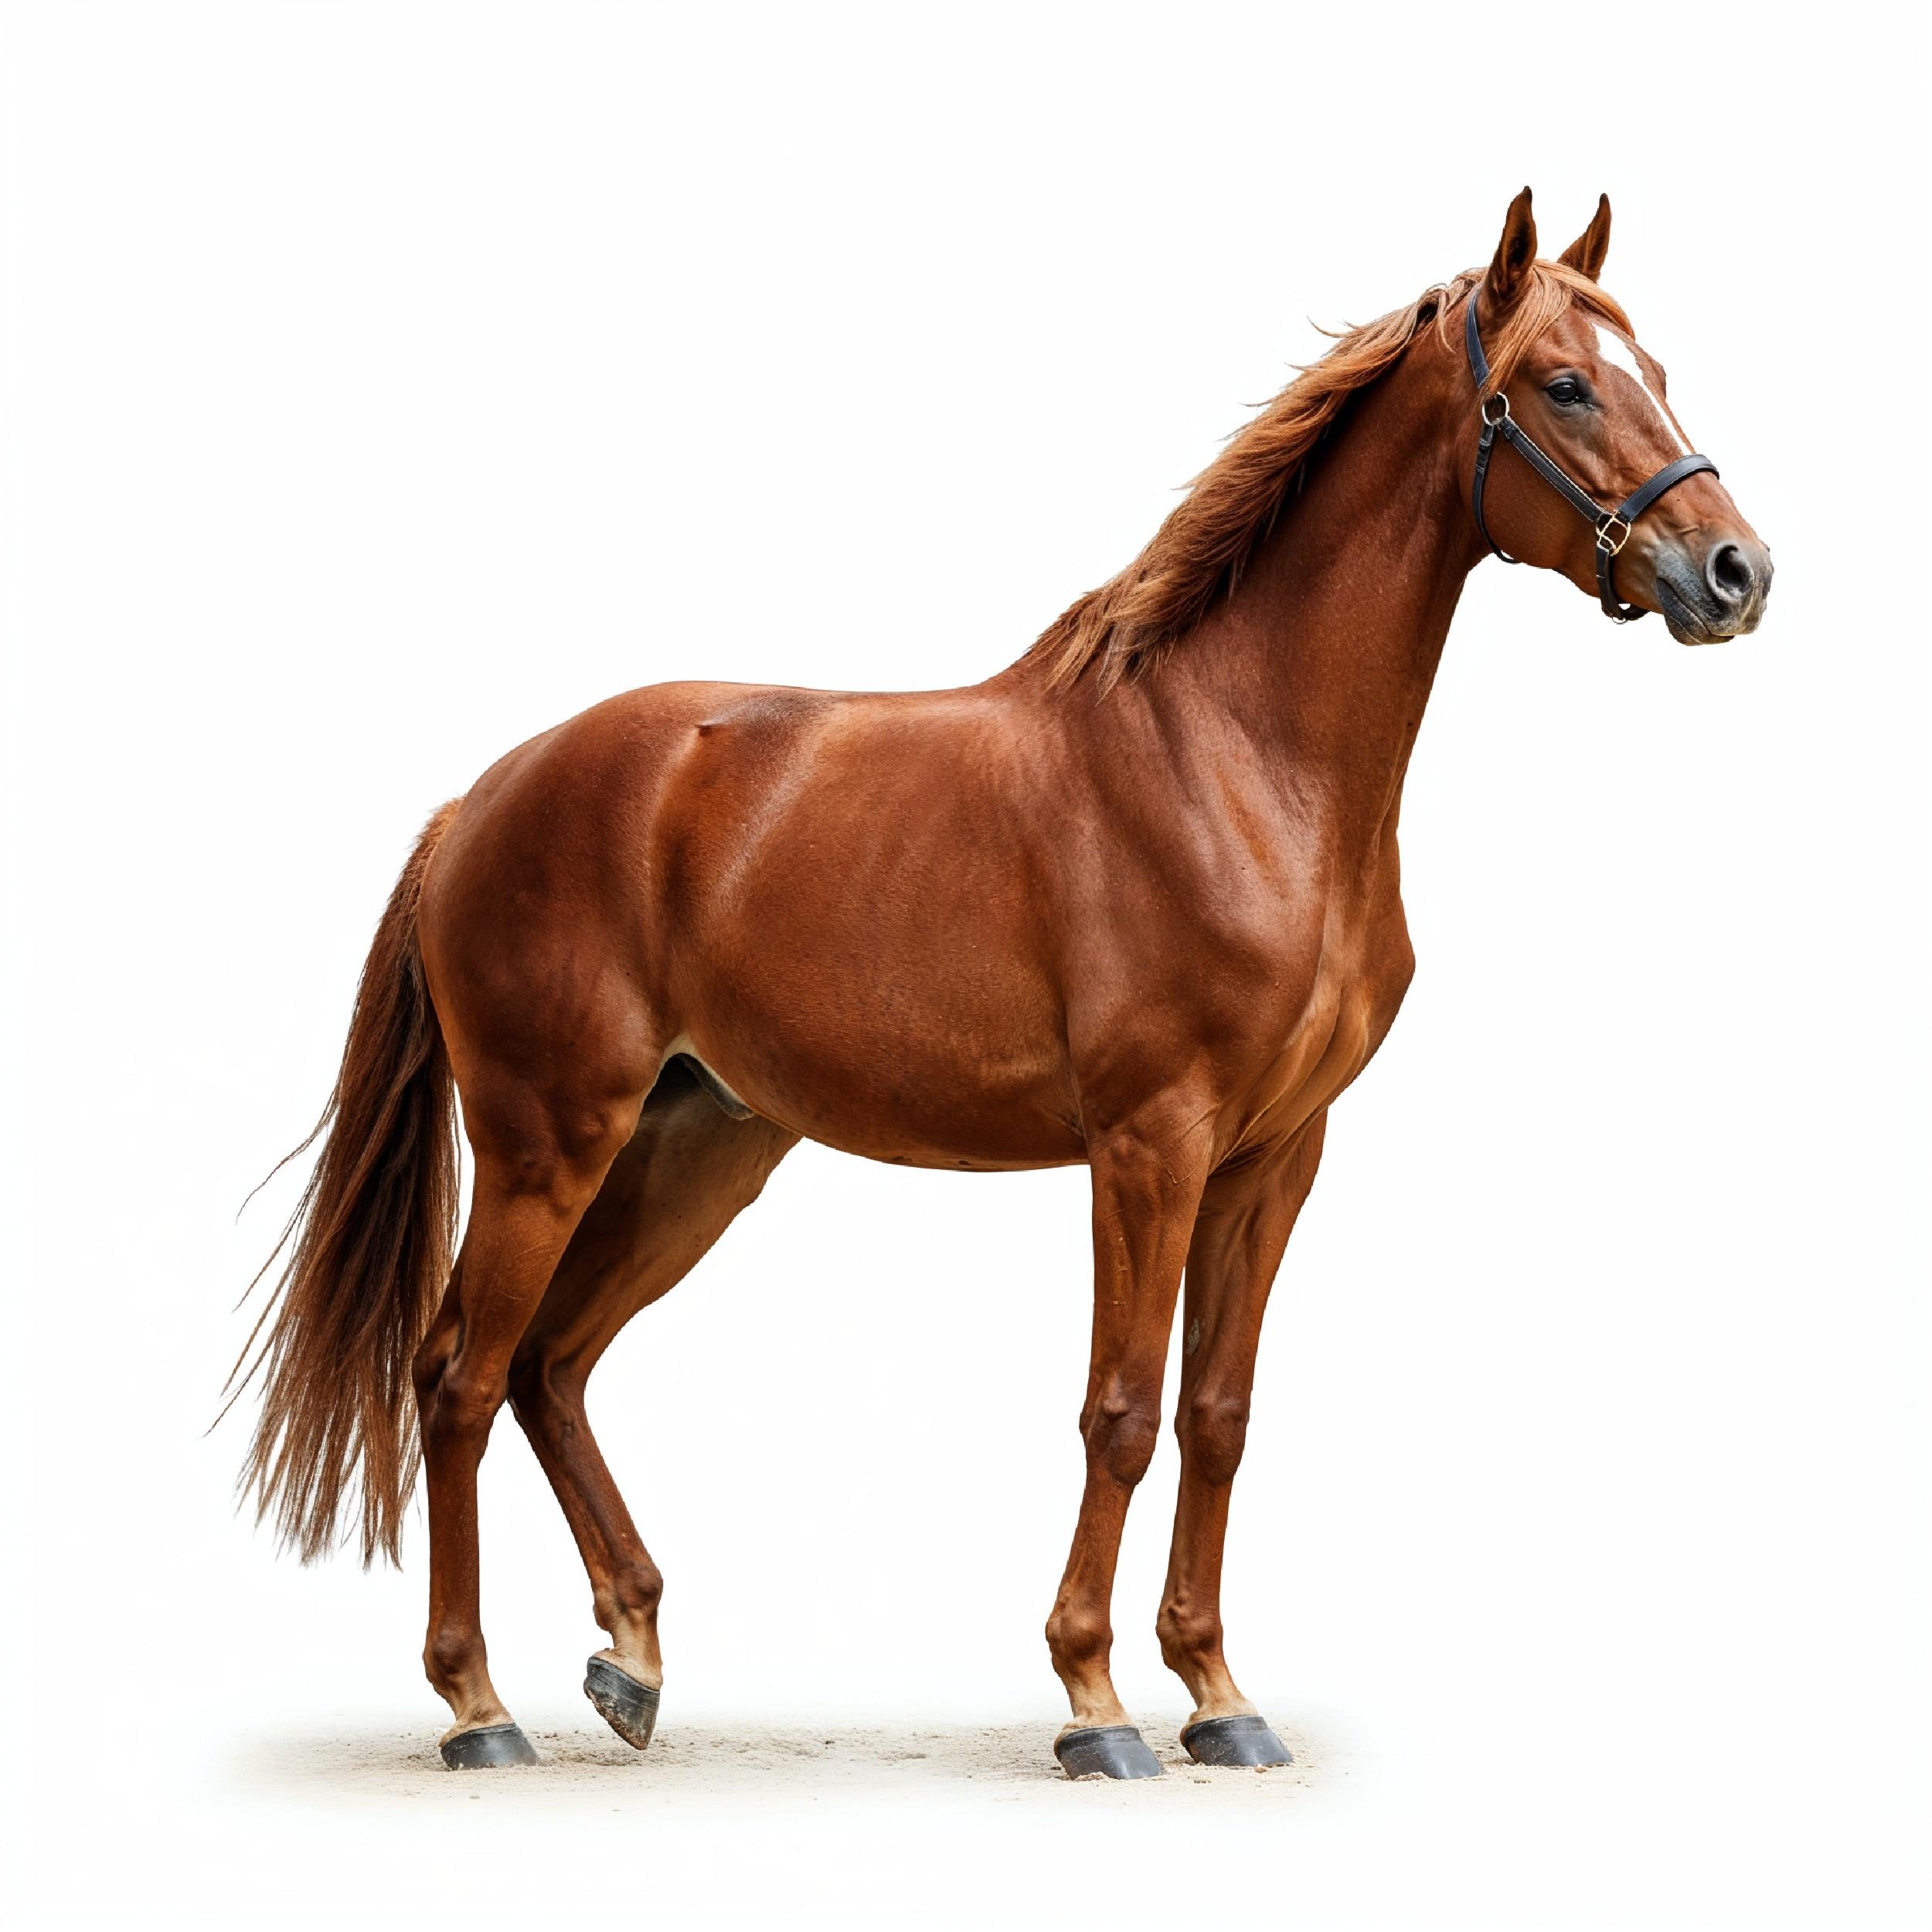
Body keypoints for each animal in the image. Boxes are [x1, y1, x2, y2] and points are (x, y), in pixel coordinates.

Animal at [234, 188, 1771, 1778]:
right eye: (1567, 384)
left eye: (1658, 367)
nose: (1735, 572)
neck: (1242, 760)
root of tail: (477, 804)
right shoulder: (1150, 1147)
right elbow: (1123, 1412)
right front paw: (1095, 1704)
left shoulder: (1277, 1154)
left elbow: (1219, 1415)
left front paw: (1220, 1695)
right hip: (548, 1146)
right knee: (459, 1379)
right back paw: (479, 1708)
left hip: (697, 1148)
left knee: (552, 1365)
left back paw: (633, 1660)